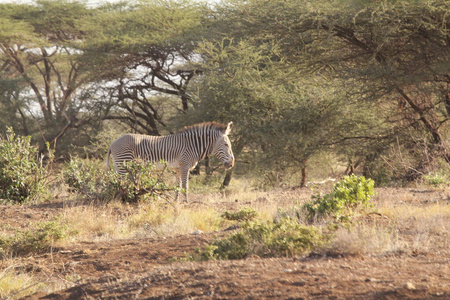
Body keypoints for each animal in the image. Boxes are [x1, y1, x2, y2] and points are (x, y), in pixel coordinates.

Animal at [106, 121, 236, 202]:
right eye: (226, 145)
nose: (231, 164)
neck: (192, 145)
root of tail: (112, 143)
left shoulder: (178, 168)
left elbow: (177, 186)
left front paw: (176, 202)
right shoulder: (184, 165)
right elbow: (185, 185)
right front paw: (186, 202)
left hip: (119, 165)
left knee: (117, 181)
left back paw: (117, 198)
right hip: (124, 164)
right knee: (121, 183)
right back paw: (121, 199)